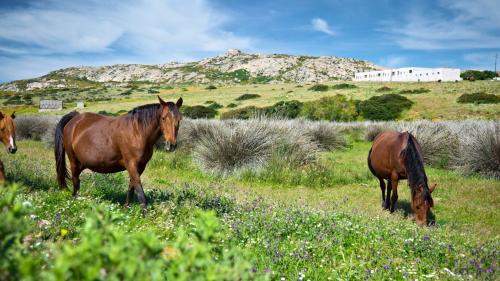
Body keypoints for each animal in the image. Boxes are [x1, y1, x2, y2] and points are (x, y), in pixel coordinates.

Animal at [54, 96, 184, 208]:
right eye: (163, 118)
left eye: (179, 119)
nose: (171, 145)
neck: (137, 132)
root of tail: (75, 119)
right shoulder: (131, 165)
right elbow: (139, 190)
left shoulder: (140, 166)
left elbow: (132, 187)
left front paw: (127, 207)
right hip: (74, 161)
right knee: (76, 181)